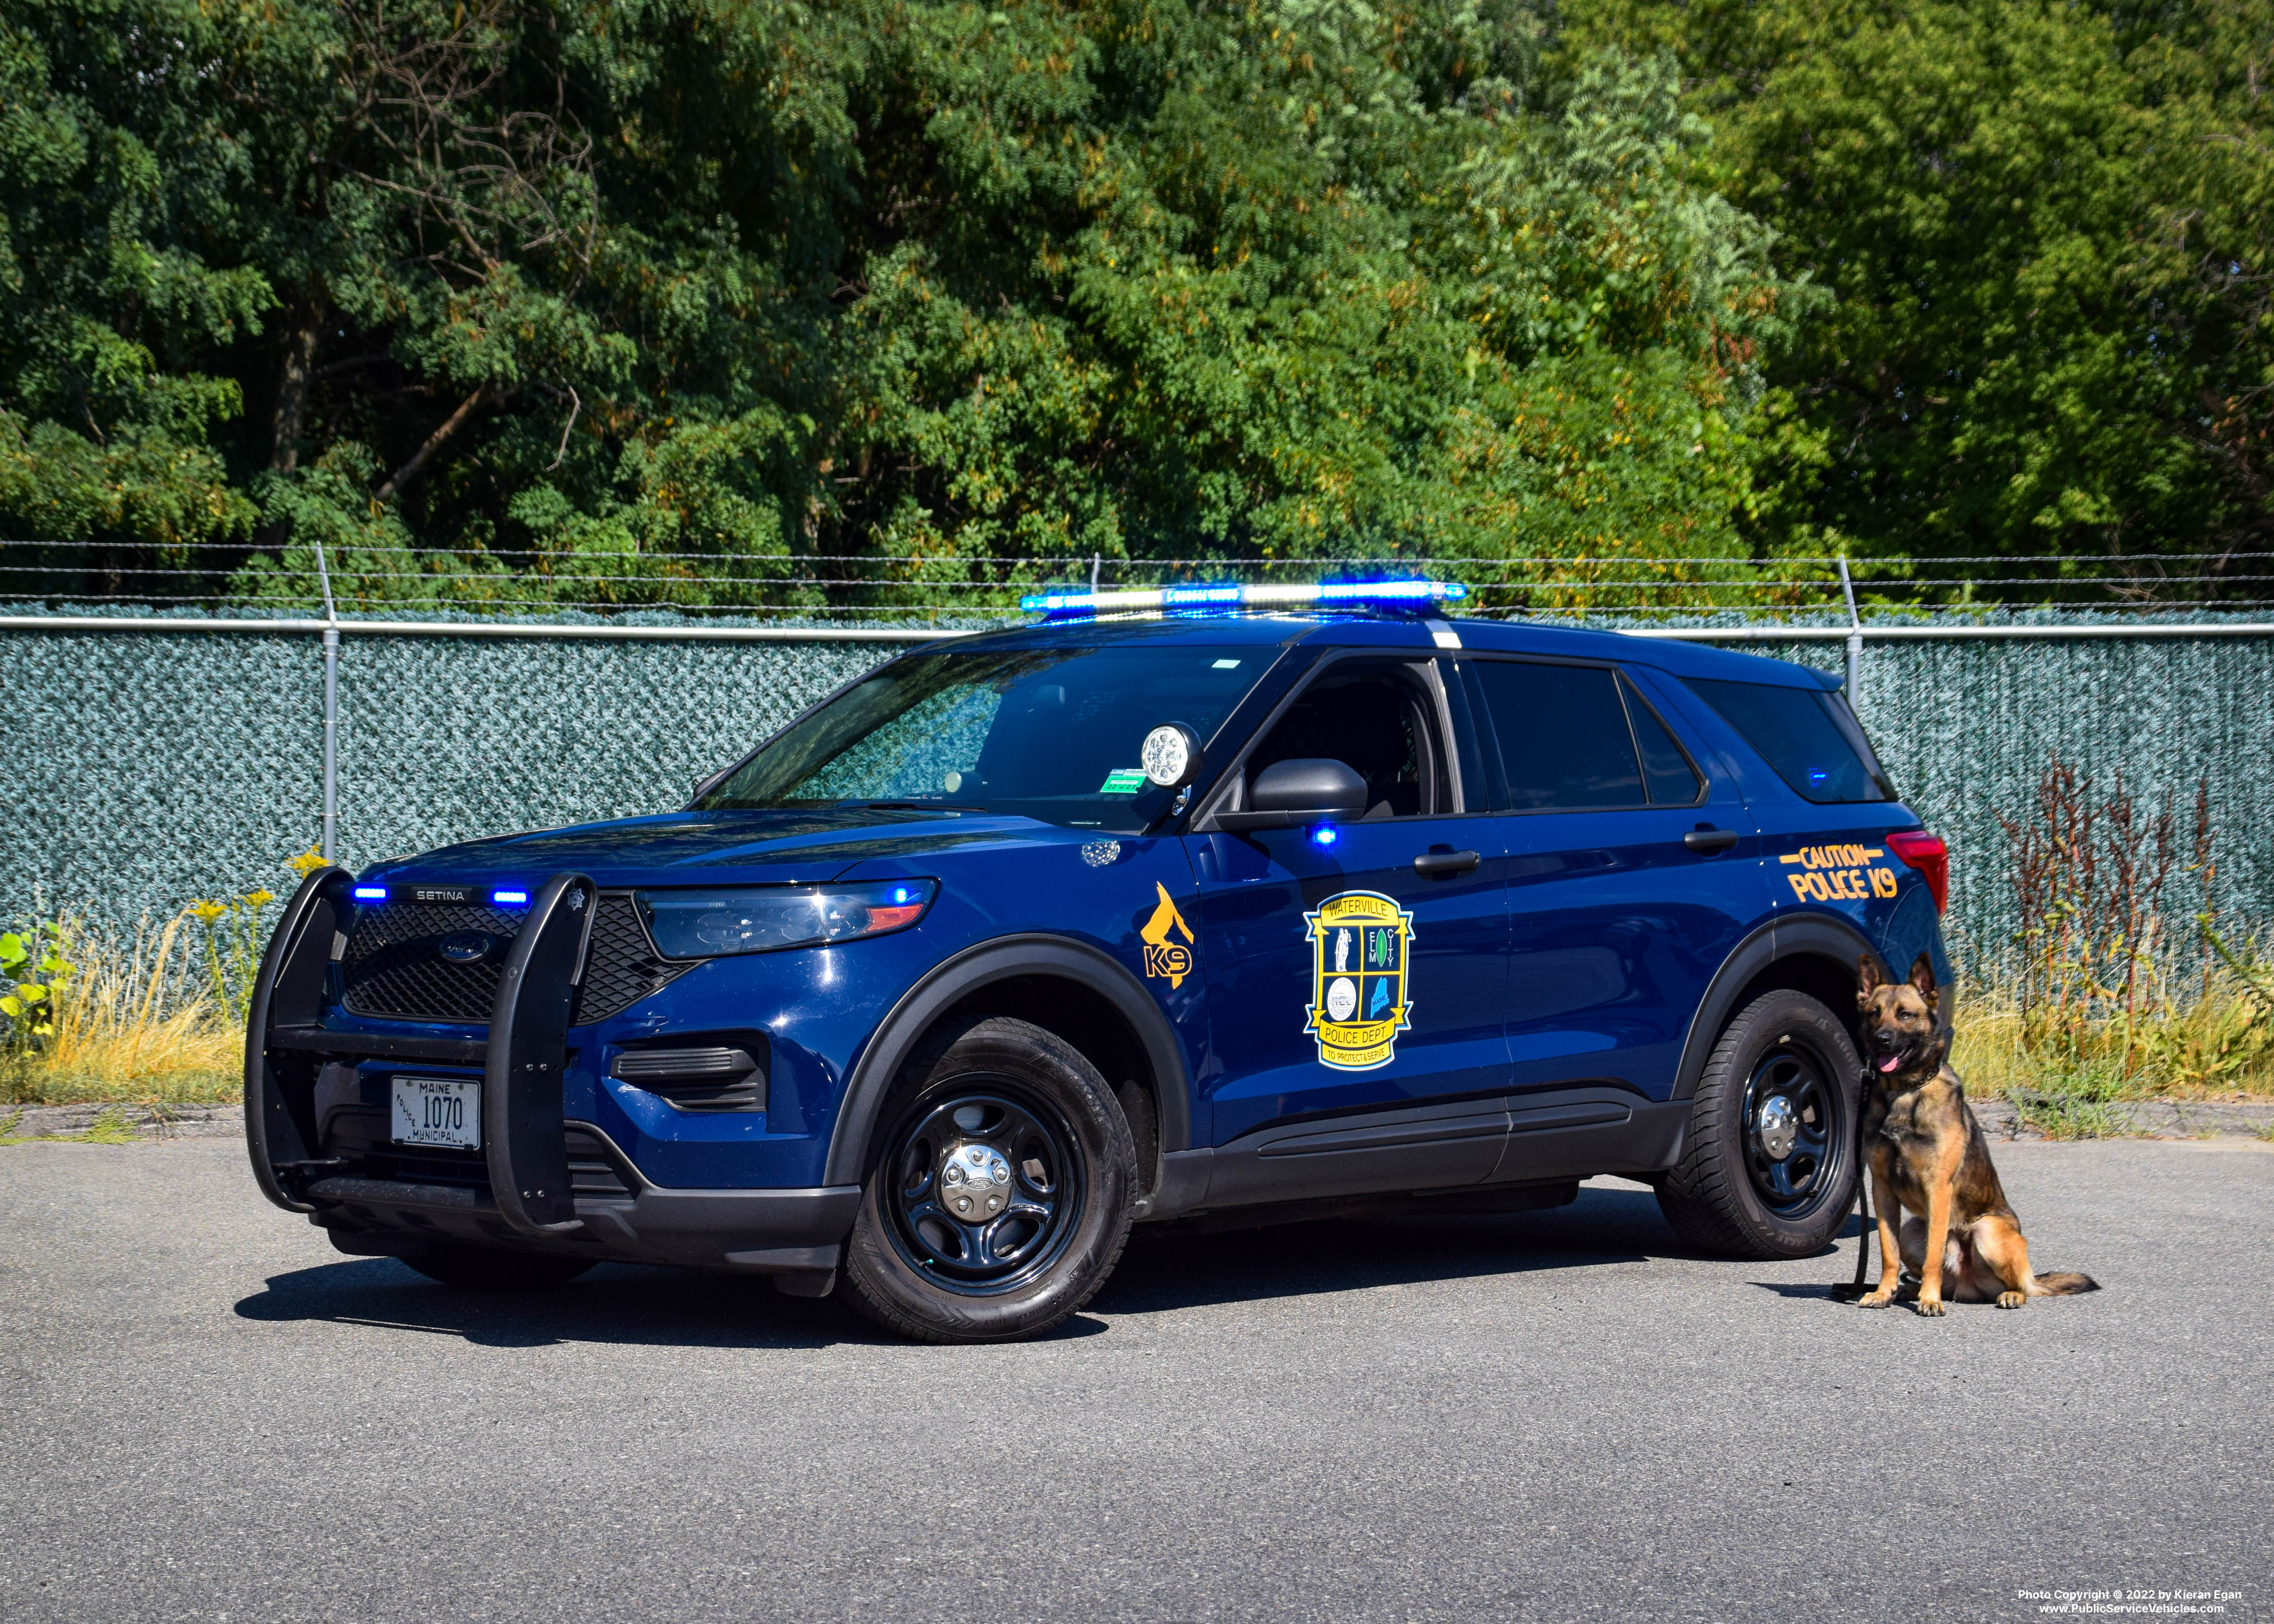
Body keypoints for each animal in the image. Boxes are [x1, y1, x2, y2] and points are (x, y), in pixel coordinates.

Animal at [1846, 955, 2092, 1310]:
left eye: (1905, 1014)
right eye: (1874, 1014)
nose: (1882, 1039)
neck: (1904, 1092)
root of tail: (1967, 1284)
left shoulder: (1938, 1188)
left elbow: (1934, 1256)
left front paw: (1930, 1300)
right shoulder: (1882, 1191)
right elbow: (1887, 1252)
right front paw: (1883, 1292)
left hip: (1987, 1231)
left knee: (2023, 1285)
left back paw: (2005, 1294)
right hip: (1912, 1229)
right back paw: (1908, 1290)